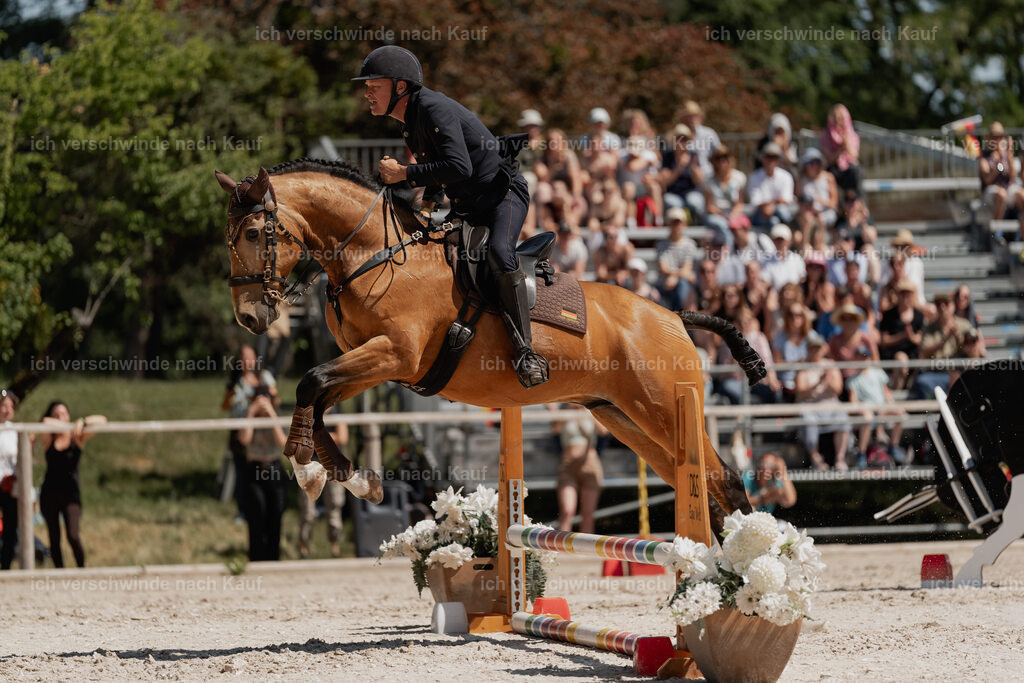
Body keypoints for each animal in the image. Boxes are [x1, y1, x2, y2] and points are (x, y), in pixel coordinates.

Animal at [215, 159, 764, 532]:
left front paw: (305, 467)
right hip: (626, 417)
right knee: (699, 484)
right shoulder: (376, 363)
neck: (375, 254)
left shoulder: (394, 353)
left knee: (725, 480)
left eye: (253, 232)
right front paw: (352, 478)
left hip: (665, 407)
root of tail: (672, 316)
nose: (249, 317)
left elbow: (310, 382)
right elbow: (318, 396)